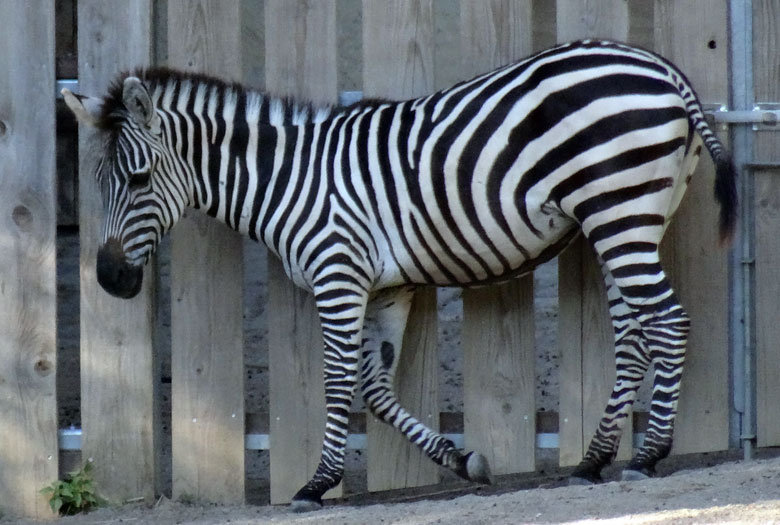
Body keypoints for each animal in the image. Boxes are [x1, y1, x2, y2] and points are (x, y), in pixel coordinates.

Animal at [62, 40, 736, 508]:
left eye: (138, 179)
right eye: (96, 182)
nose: (110, 280)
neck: (286, 179)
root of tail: (661, 67)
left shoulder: (339, 274)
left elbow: (339, 383)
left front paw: (316, 485)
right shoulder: (390, 286)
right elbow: (376, 390)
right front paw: (461, 460)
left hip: (618, 210)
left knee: (669, 324)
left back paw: (648, 455)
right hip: (630, 218)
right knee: (634, 335)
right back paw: (593, 460)